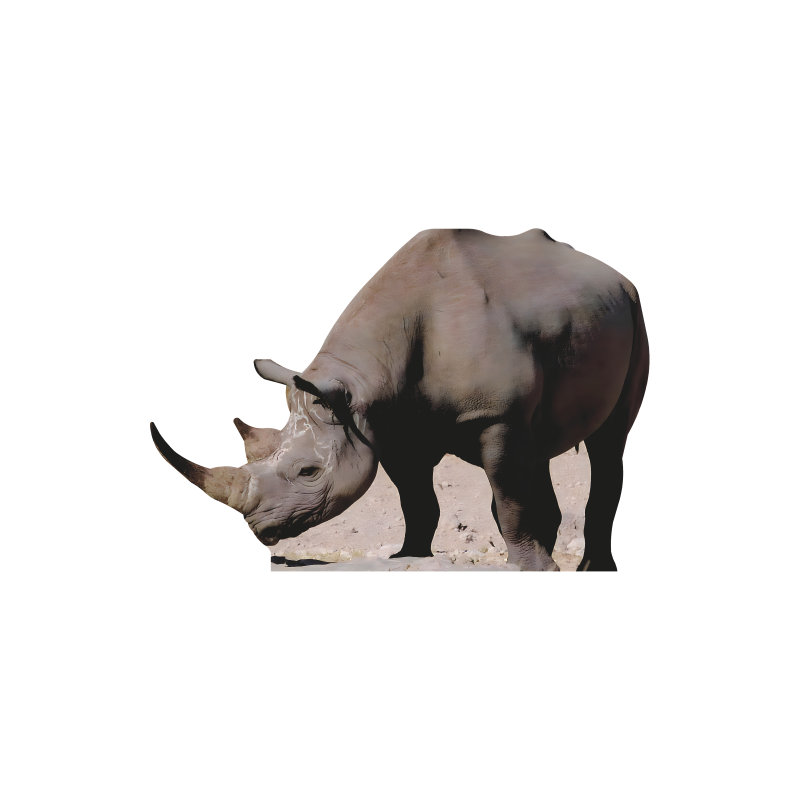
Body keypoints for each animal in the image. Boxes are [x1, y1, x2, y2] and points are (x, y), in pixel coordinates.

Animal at [151, 228, 649, 570]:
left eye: (309, 472)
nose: (261, 531)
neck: (360, 383)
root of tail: (616, 275)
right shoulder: (382, 426)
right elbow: (417, 500)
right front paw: (408, 558)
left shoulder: (495, 415)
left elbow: (509, 497)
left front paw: (532, 570)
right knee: (538, 447)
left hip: (635, 308)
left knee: (609, 443)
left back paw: (593, 568)